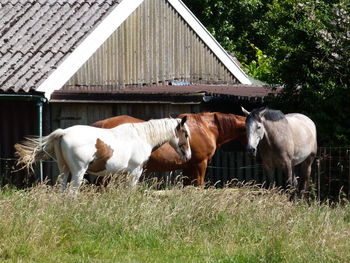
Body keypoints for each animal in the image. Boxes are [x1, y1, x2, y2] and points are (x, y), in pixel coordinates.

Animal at [15, 117, 191, 192]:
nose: (188, 155)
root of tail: (63, 132)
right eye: (186, 134)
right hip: (78, 172)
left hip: (65, 170)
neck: (141, 136)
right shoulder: (135, 171)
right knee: (72, 192)